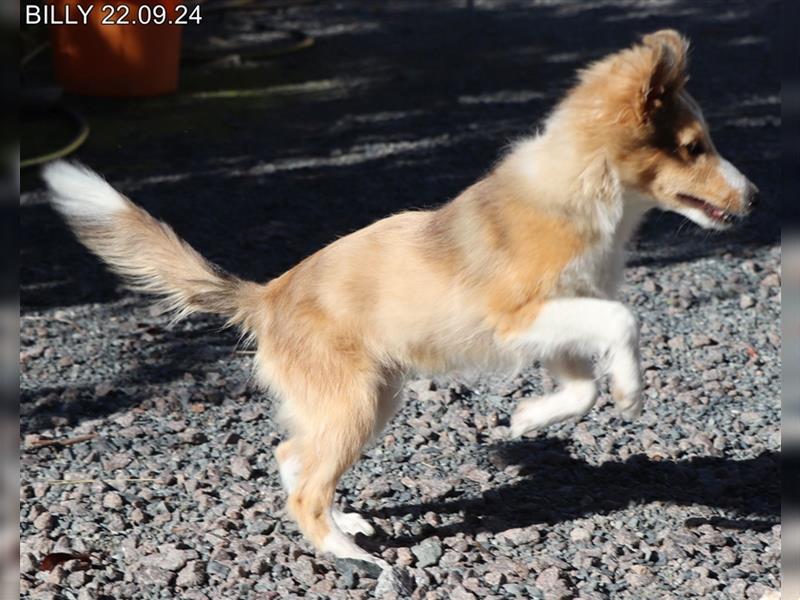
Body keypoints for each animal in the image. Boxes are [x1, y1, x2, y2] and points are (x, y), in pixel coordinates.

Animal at [43, 28, 756, 564]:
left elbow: (580, 386)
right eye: (693, 148)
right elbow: (623, 319)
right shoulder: (519, 316)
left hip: (371, 396)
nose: (753, 198)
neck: (581, 190)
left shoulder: (555, 325)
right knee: (304, 486)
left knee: (291, 455)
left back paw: (345, 523)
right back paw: (349, 554)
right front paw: (630, 391)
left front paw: (528, 421)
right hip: (357, 402)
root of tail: (266, 296)